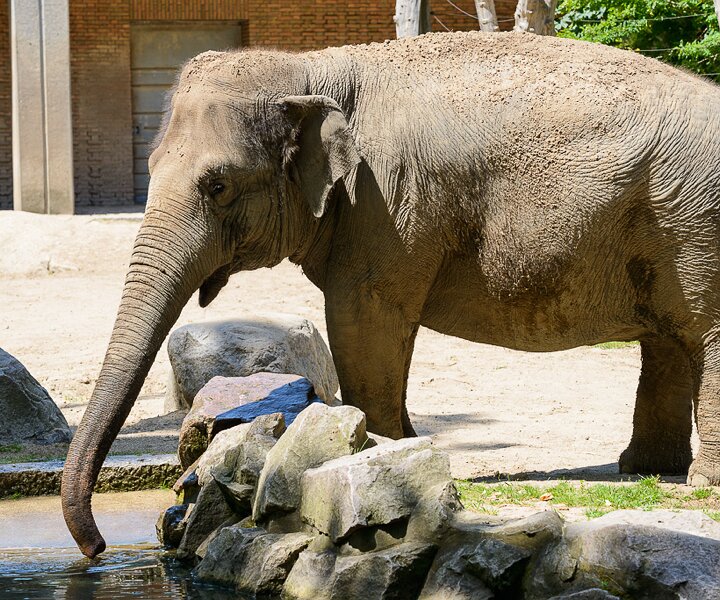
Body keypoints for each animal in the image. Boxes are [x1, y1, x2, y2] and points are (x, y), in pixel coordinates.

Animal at [62, 30, 720, 557]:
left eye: (217, 185)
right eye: (150, 167)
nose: (98, 548)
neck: (310, 70)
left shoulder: (386, 201)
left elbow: (364, 316)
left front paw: (373, 449)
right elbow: (377, 327)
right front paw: (401, 446)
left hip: (694, 221)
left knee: (704, 334)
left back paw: (698, 484)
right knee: (669, 339)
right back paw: (646, 470)